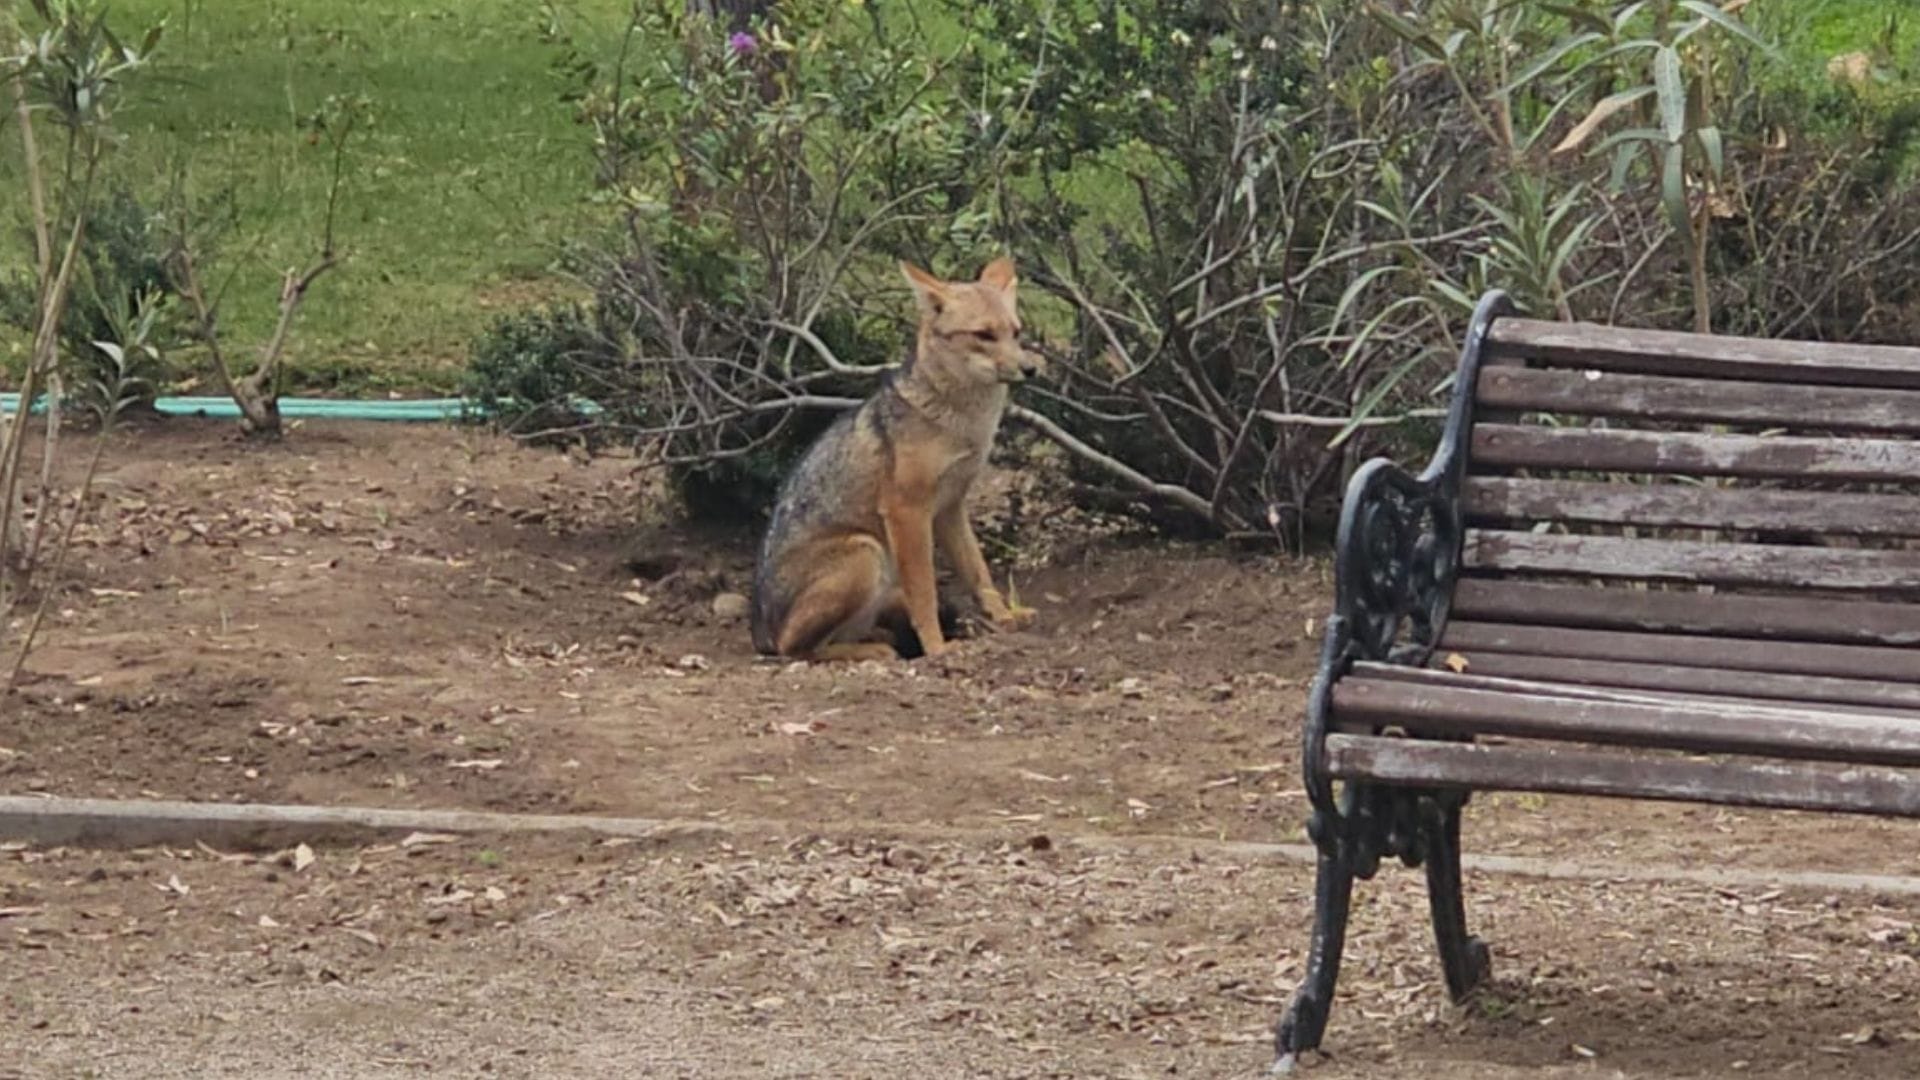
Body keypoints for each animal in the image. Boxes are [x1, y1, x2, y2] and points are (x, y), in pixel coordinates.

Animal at [750, 257, 1040, 662]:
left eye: (1016, 332)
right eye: (983, 335)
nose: (1031, 369)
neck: (962, 423)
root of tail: (759, 632)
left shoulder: (951, 506)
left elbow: (978, 571)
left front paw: (1003, 616)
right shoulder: (907, 511)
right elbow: (924, 590)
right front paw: (936, 647)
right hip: (867, 553)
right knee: (797, 649)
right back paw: (874, 651)